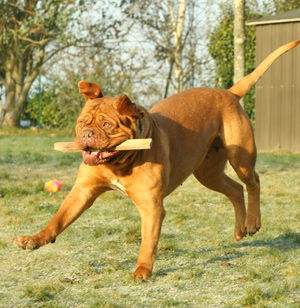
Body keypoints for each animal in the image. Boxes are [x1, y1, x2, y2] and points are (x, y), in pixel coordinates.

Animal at [14, 40, 300, 280]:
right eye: (82, 122)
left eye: (106, 124)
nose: (86, 135)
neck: (120, 163)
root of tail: (228, 93)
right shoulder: (82, 192)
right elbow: (58, 219)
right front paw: (35, 239)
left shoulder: (151, 207)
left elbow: (148, 242)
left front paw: (142, 270)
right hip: (208, 173)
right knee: (235, 189)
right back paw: (240, 228)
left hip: (241, 157)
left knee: (253, 183)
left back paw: (253, 222)